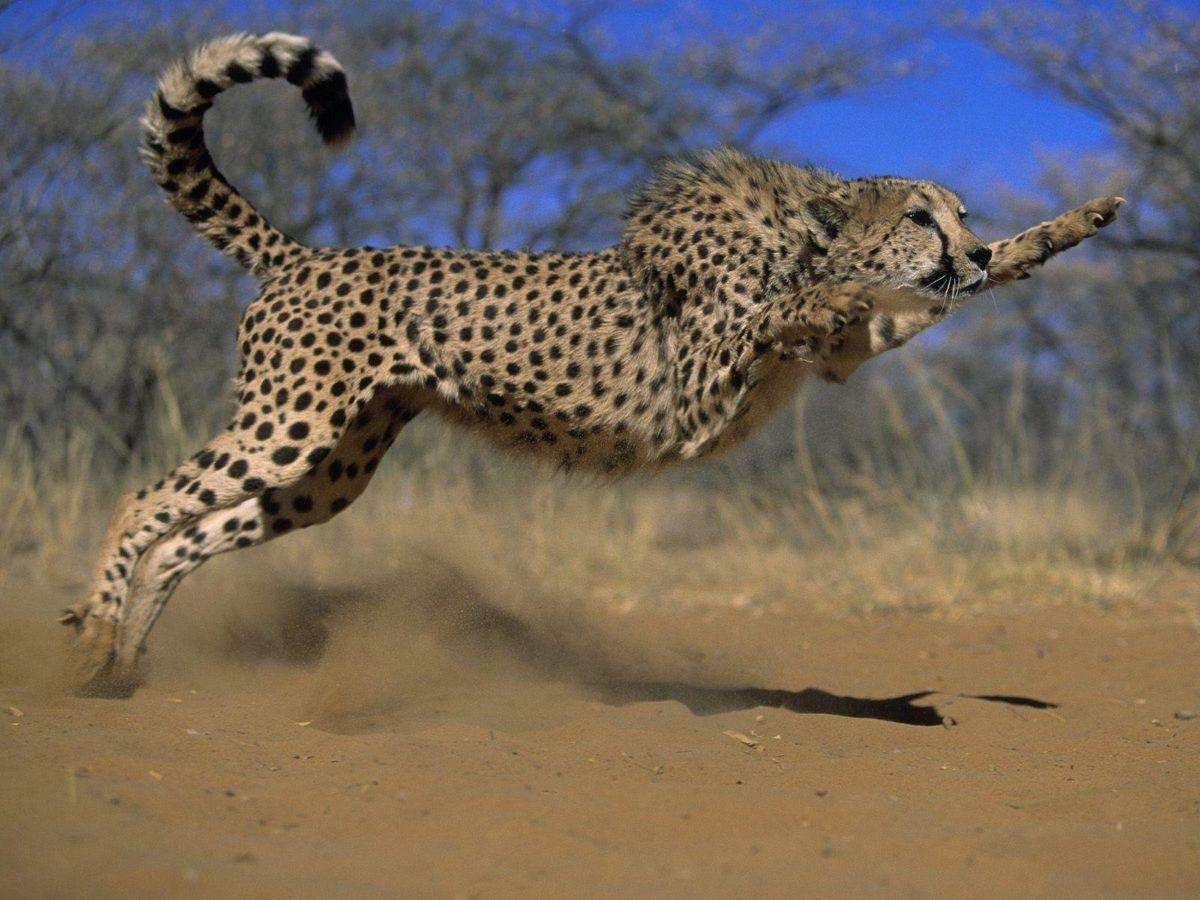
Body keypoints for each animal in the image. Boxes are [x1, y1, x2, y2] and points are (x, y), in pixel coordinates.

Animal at [59, 32, 1123, 694]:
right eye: (918, 216)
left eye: (963, 215)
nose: (966, 250)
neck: (800, 242)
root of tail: (303, 252)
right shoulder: (699, 381)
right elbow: (798, 311)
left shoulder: (846, 356)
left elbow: (930, 299)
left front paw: (1073, 224)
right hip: (290, 425)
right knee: (144, 500)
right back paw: (96, 638)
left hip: (331, 468)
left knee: (192, 535)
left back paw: (127, 662)